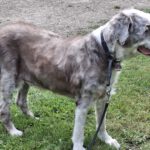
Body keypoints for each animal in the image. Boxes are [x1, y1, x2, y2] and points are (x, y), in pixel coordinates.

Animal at [0, 8, 150, 150]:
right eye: (147, 29)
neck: (104, 51)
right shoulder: (83, 101)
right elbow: (79, 132)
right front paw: (79, 147)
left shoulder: (103, 97)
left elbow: (101, 124)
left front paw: (107, 140)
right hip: (7, 80)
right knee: (4, 110)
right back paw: (13, 132)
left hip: (27, 78)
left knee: (21, 101)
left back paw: (33, 118)